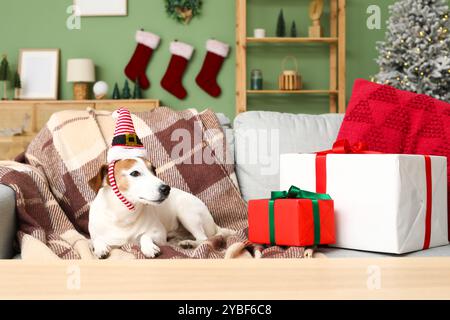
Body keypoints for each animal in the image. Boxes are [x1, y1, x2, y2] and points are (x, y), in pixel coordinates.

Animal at [88, 158, 236, 260]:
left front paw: (149, 247)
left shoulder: (159, 234)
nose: (166, 188)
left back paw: (188, 243)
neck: (124, 216)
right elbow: (96, 240)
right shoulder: (96, 236)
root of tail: (214, 223)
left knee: (203, 239)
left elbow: (144, 236)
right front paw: (100, 248)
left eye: (153, 170)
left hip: (186, 212)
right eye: (135, 173)